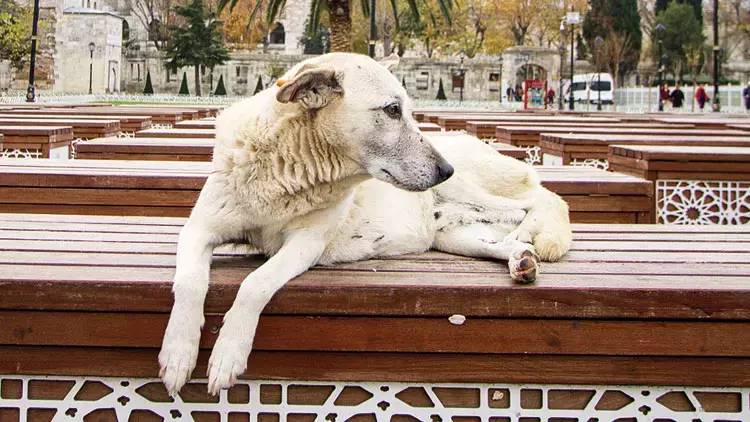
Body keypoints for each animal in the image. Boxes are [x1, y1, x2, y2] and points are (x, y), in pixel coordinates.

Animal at [157, 52, 568, 396]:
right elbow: (190, 282)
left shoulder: (305, 244)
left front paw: (229, 353)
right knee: (504, 236)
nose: (444, 169)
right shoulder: (198, 229)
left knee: (537, 203)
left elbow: (255, 283)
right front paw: (178, 353)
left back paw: (527, 234)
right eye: (392, 110)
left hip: (475, 190)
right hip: (454, 235)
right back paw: (521, 260)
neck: (288, 170)